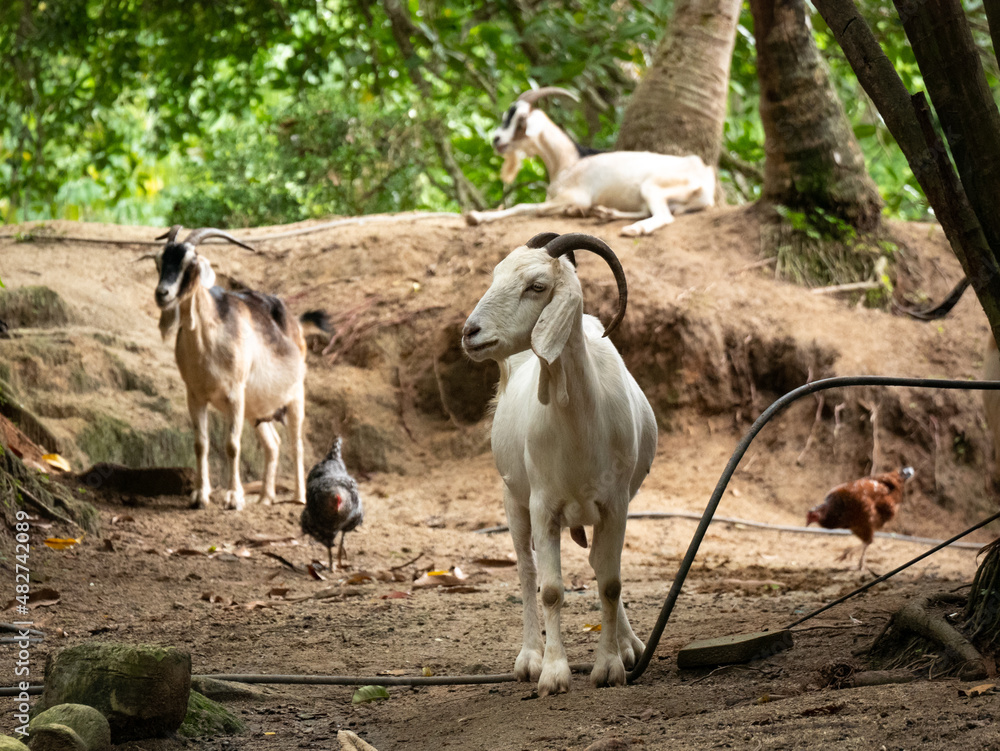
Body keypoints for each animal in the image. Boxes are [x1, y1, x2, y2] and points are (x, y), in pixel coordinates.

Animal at [140, 226, 314, 510]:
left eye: (190, 264)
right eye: (158, 261)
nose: (162, 294)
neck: (208, 343)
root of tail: (293, 322)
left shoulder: (235, 393)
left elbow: (232, 445)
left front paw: (234, 498)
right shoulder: (195, 396)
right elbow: (201, 443)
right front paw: (200, 496)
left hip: (295, 394)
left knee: (295, 443)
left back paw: (299, 497)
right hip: (256, 409)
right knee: (273, 444)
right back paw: (265, 498)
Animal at [462, 231, 657, 695]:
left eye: (536, 286)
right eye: (495, 276)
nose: (469, 332)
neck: (579, 426)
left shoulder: (616, 504)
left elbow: (610, 582)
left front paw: (610, 666)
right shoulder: (543, 504)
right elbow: (549, 589)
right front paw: (553, 673)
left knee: (600, 566)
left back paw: (630, 645)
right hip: (512, 499)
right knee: (525, 570)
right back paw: (530, 658)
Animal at [465, 88, 715, 236]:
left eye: (521, 120)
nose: (496, 139)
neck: (569, 162)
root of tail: (705, 179)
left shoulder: (575, 195)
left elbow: (526, 207)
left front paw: (477, 216)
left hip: (652, 186)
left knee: (663, 216)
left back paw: (633, 229)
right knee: (650, 211)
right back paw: (604, 213)